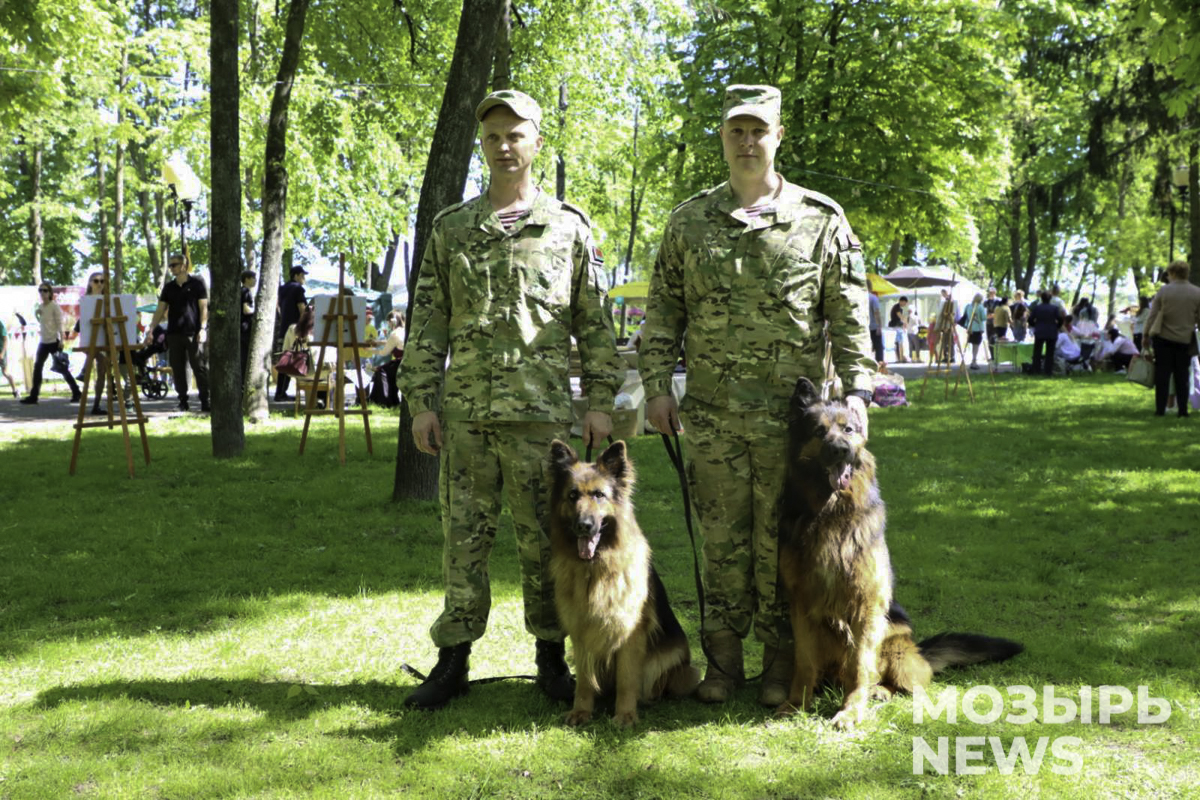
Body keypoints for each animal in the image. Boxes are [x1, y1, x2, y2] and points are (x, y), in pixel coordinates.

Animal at [549, 438, 705, 724]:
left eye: (599, 495)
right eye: (572, 495)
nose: (583, 525)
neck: (595, 569)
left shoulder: (630, 633)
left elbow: (627, 678)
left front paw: (625, 715)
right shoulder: (581, 631)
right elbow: (585, 681)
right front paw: (581, 711)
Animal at [777, 379, 1022, 729]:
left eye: (848, 429)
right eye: (819, 431)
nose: (840, 450)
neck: (831, 513)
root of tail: (919, 649)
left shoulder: (866, 605)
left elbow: (859, 667)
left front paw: (850, 711)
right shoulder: (801, 604)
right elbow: (804, 661)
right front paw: (796, 704)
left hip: (894, 639)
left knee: (902, 681)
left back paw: (879, 690)